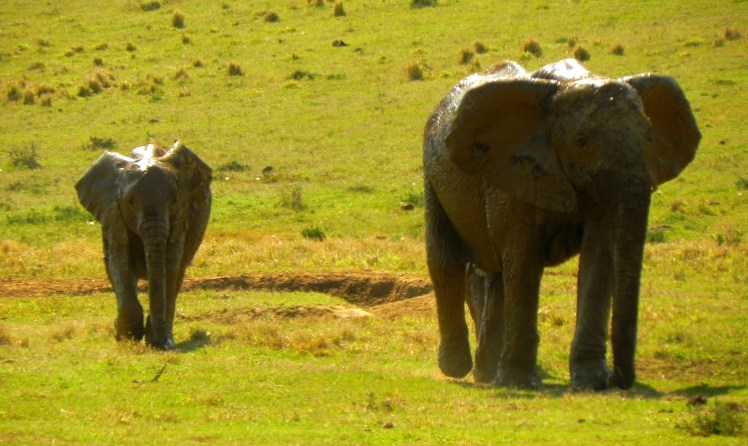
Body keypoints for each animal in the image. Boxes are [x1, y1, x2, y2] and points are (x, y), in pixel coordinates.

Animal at [75, 141, 212, 349]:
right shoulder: (113, 214)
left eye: (174, 200)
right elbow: (120, 263)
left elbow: (169, 267)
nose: (165, 344)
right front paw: (126, 336)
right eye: (130, 202)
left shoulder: (183, 215)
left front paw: (157, 340)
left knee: (177, 275)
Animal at [423, 59, 701, 390]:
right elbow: (524, 260)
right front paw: (521, 383)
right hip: (433, 176)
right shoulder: (515, 172)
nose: (620, 381)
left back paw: (489, 374)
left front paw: (592, 382)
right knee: (447, 262)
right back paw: (458, 368)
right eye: (581, 142)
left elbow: (599, 258)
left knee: (496, 274)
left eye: (648, 138)